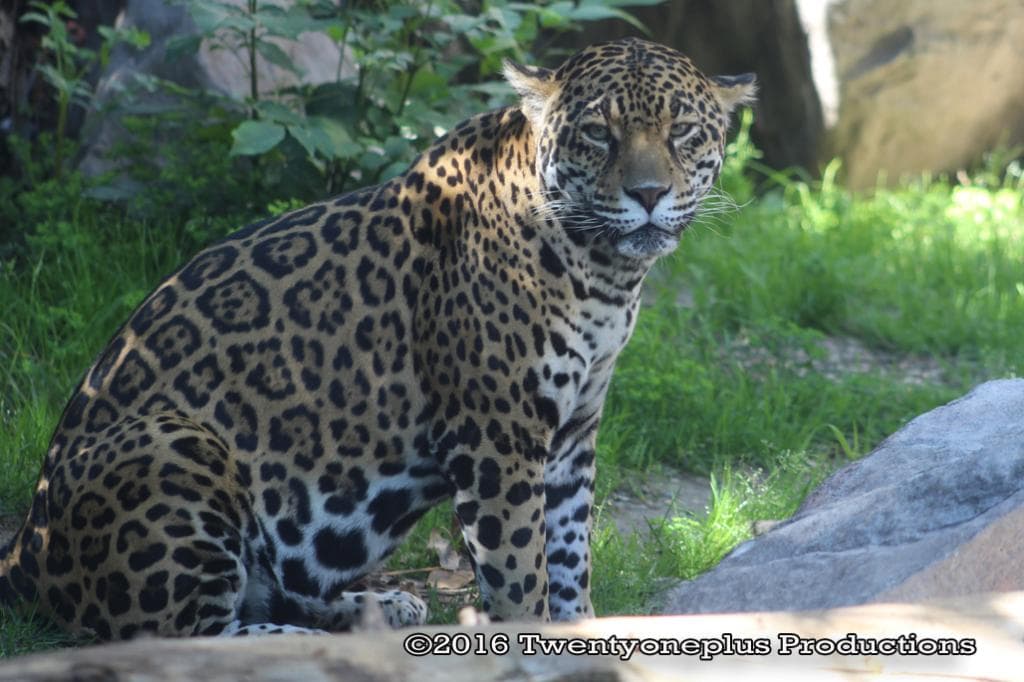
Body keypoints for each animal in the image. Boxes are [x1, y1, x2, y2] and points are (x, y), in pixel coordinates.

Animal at [0, 37, 755, 639]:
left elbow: (570, 550)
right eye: (598, 133)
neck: (603, 271)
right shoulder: (497, 435)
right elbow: (521, 567)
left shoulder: (573, 428)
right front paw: (532, 641)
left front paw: (581, 632)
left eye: (684, 130)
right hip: (174, 444)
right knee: (185, 637)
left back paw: (381, 609)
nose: (649, 194)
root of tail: (23, 545)